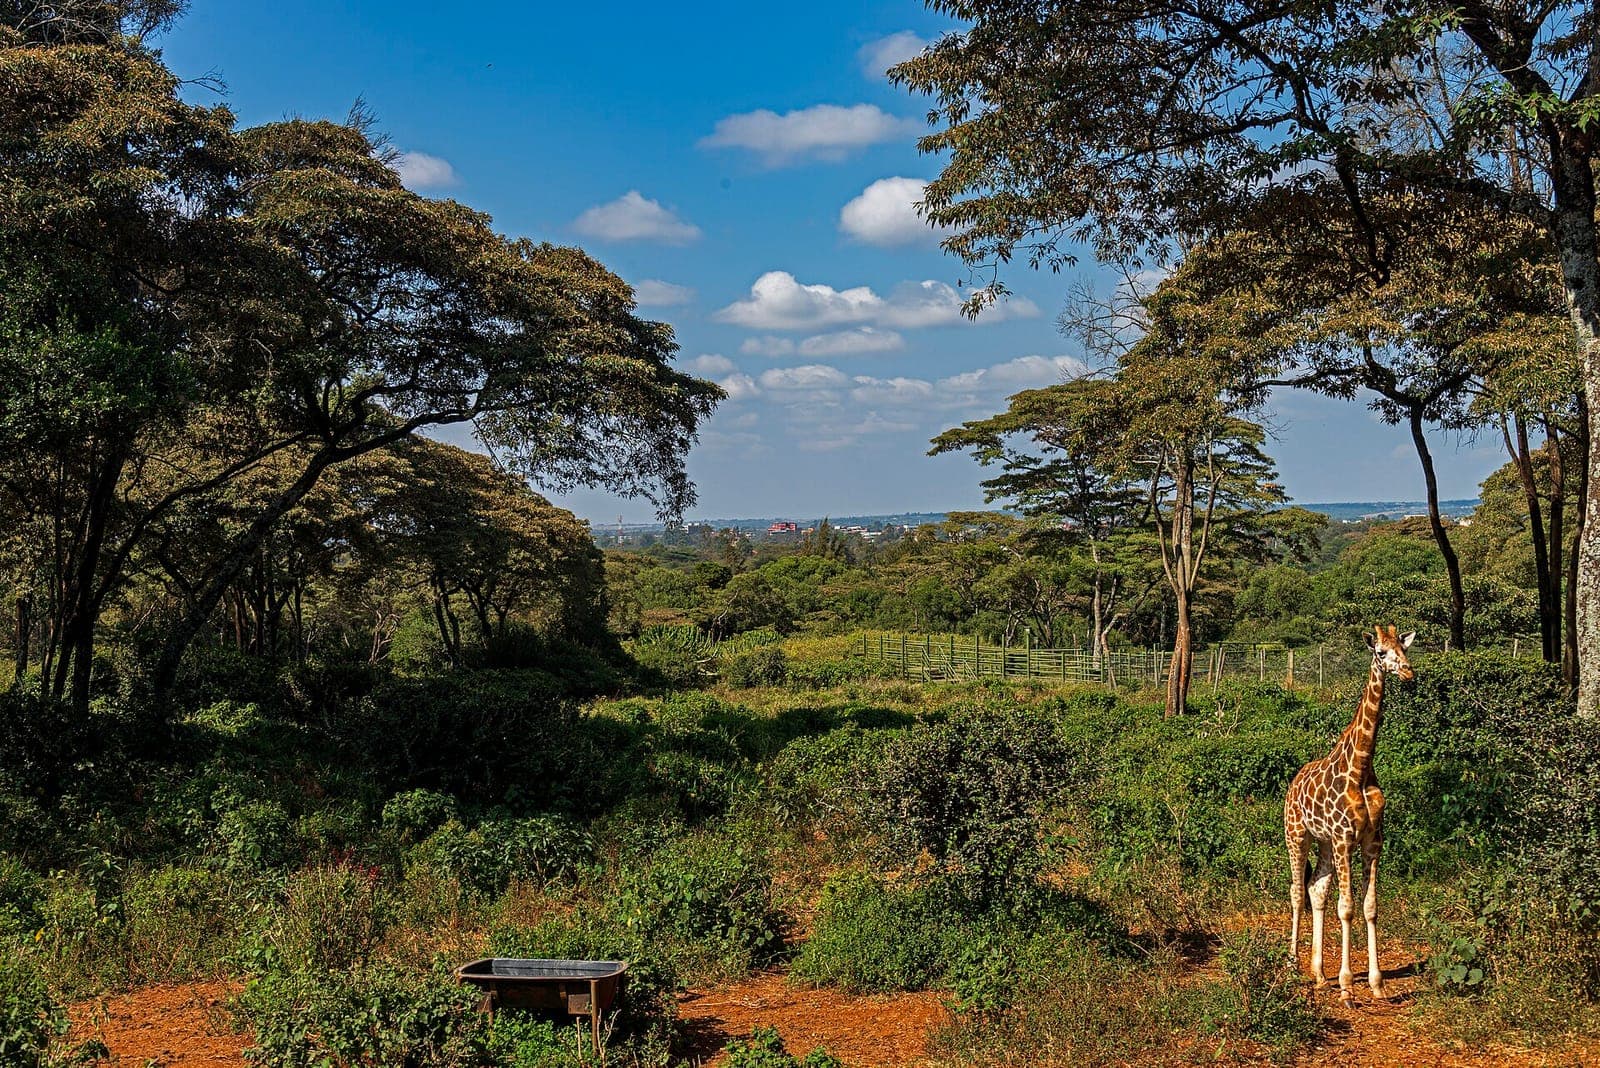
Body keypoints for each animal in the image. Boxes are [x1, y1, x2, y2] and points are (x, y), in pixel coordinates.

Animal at [1284, 624, 1414, 1002]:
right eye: (1381, 653)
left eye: (1404, 648)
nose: (1409, 673)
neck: (1360, 768)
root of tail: (1292, 783)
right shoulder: (1344, 840)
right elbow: (1348, 908)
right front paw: (1346, 985)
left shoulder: (1372, 843)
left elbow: (1369, 908)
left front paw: (1377, 984)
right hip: (1297, 835)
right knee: (1297, 892)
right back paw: (1293, 965)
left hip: (1325, 844)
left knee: (1316, 889)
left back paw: (1318, 974)